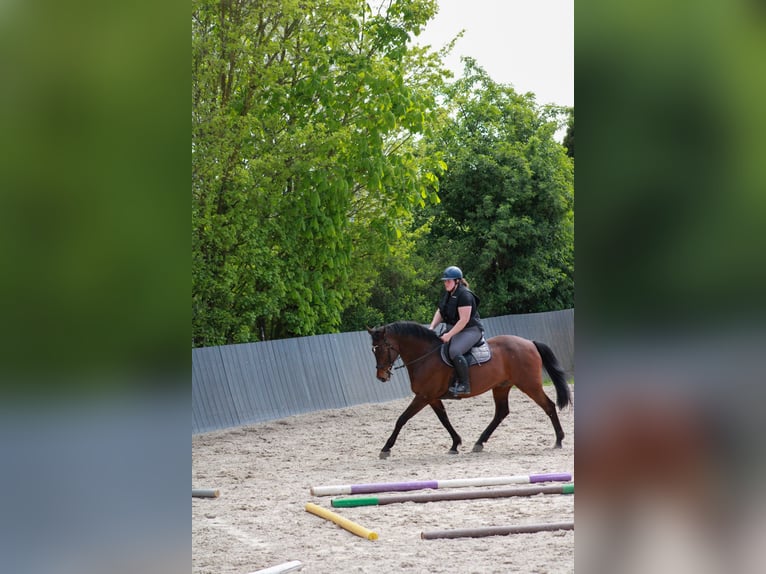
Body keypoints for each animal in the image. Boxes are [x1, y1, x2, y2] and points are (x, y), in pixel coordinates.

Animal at [366, 321, 572, 459]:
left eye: (383, 348)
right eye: (373, 350)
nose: (381, 376)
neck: (426, 356)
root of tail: (529, 342)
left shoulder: (423, 397)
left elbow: (402, 419)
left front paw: (386, 448)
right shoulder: (432, 398)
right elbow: (444, 420)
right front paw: (455, 444)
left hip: (529, 385)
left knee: (548, 406)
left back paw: (559, 440)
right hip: (501, 387)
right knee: (501, 412)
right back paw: (479, 443)